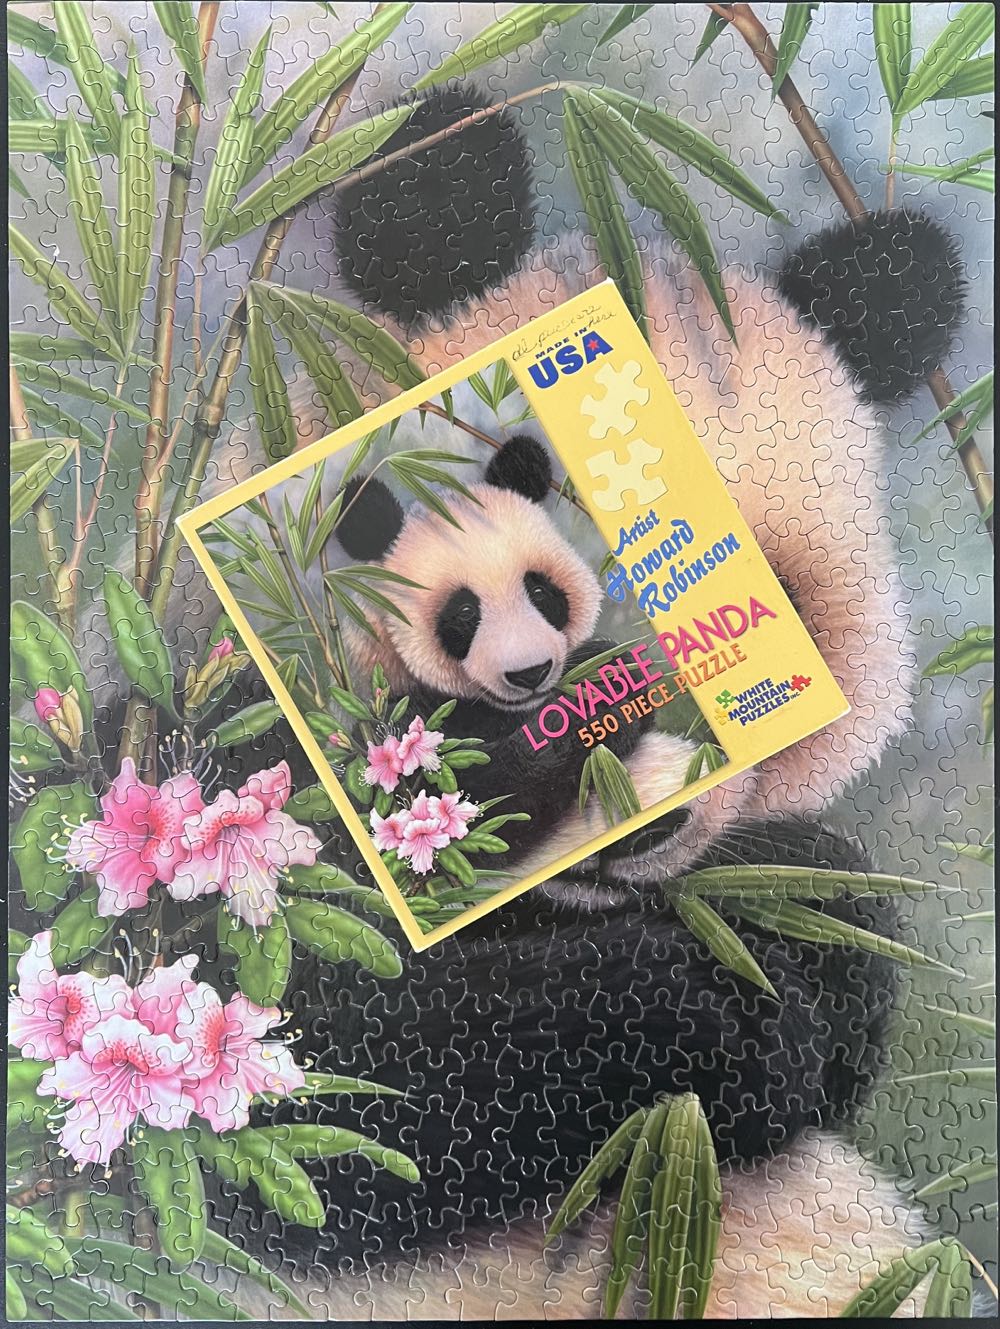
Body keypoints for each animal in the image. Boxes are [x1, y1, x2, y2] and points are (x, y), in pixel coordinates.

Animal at [173, 84, 969, 1317]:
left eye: (756, 611)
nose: (644, 809)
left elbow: (830, 919)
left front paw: (797, 936)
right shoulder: (229, 758)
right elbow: (306, 1092)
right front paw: (721, 1012)